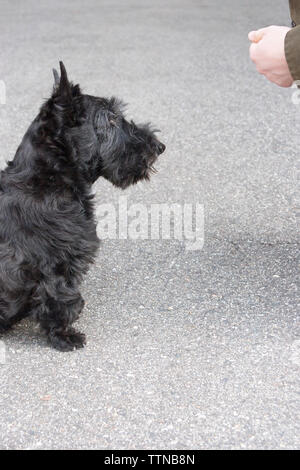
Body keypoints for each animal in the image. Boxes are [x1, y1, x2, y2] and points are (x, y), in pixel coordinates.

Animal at [0, 61, 164, 348]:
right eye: (111, 119)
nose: (159, 146)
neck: (48, 178)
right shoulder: (56, 264)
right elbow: (63, 298)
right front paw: (64, 335)